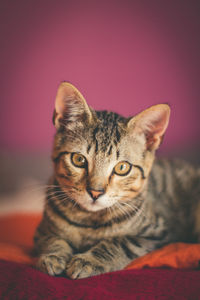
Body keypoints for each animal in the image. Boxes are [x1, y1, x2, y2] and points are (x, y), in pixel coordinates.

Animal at [34, 81, 200, 278]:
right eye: (78, 159)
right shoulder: (41, 231)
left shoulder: (160, 233)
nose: (95, 192)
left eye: (122, 168)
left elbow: (122, 242)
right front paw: (52, 255)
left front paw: (89, 260)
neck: (88, 220)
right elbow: (51, 238)